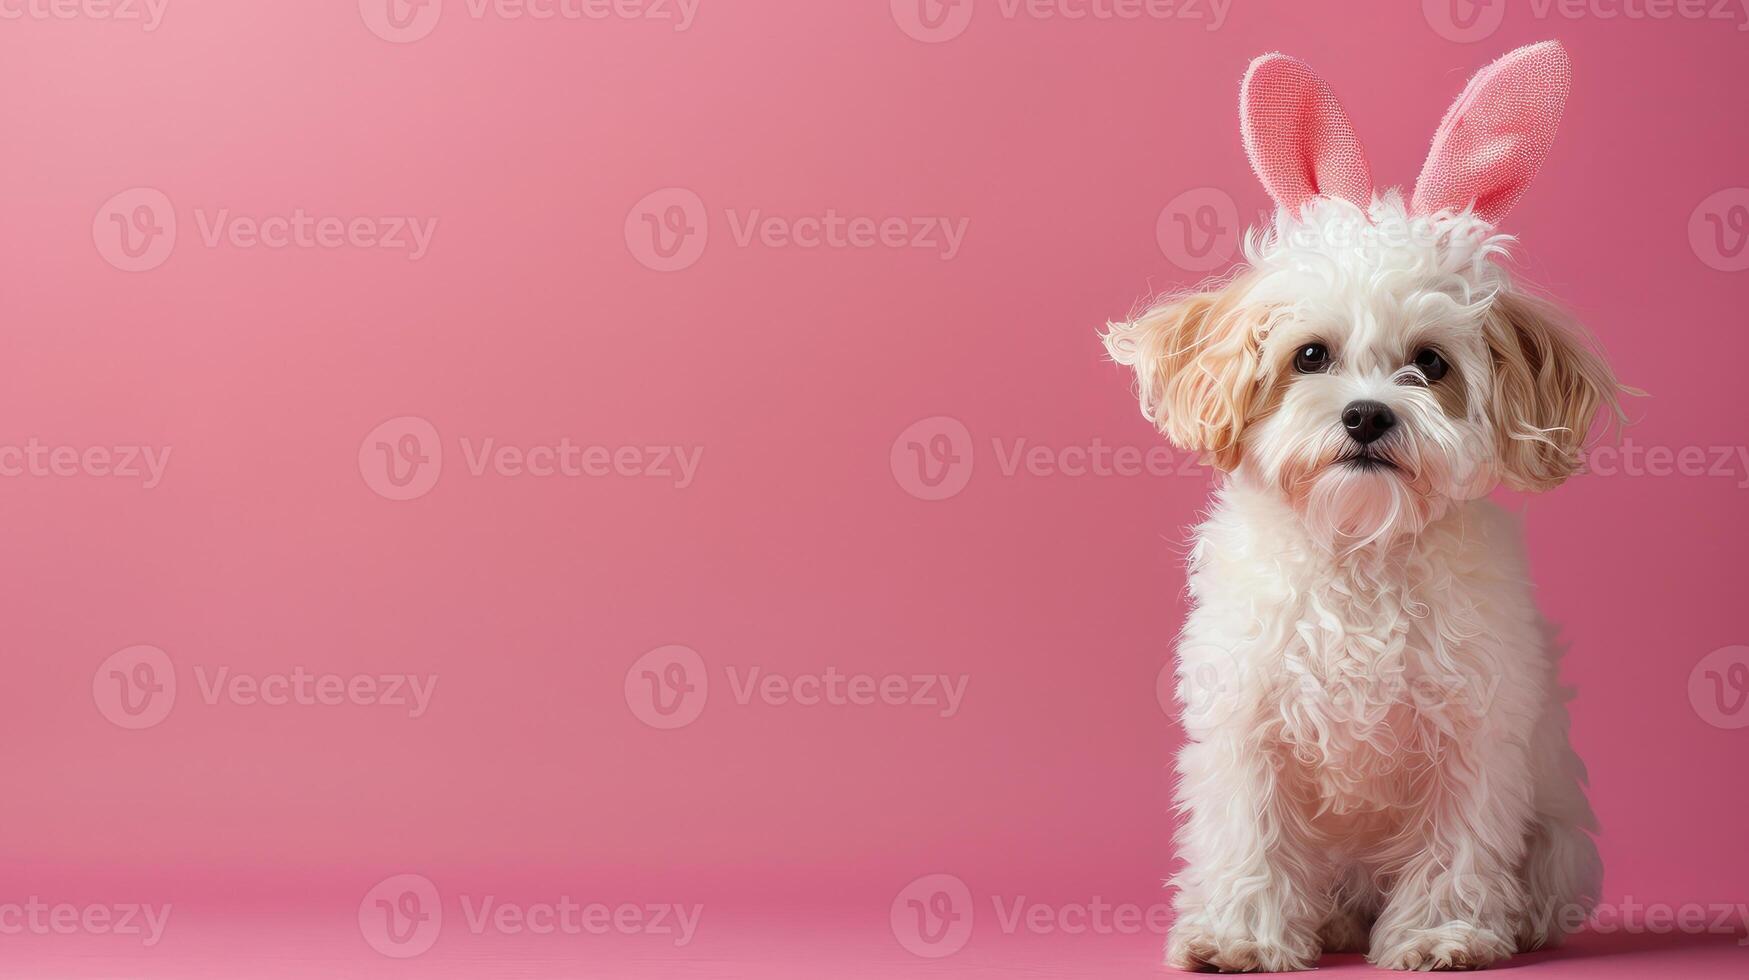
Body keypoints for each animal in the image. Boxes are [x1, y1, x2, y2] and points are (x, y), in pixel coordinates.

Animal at [1105, 42, 1623, 966]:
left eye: (1430, 363)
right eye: (1310, 355)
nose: (1367, 414)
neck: (1358, 549)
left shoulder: (1470, 730)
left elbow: (1455, 841)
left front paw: (1444, 933)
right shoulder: (1247, 725)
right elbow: (1248, 837)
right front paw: (1238, 936)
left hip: (1558, 836)